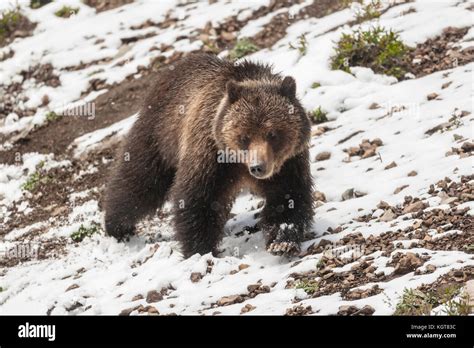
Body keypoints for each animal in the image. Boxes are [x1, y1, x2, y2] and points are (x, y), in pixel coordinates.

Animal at [105, 53, 316, 256]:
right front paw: (200, 249)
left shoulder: (288, 163)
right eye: (244, 136)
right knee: (140, 182)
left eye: (273, 134)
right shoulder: (210, 155)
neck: (237, 163)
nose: (258, 167)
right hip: (159, 136)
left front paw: (282, 241)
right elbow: (198, 199)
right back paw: (116, 226)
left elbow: (288, 196)